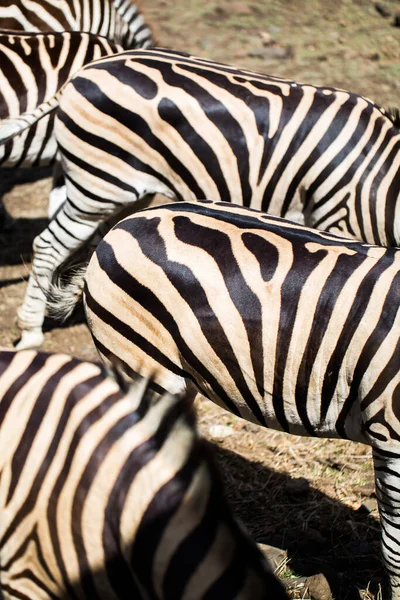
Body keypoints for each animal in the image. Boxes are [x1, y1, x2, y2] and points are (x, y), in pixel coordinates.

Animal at [1, 50, 398, 352]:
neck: (379, 180)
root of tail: (85, 70)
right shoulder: (336, 221)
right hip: (98, 186)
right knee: (48, 244)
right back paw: (32, 330)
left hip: (122, 190)